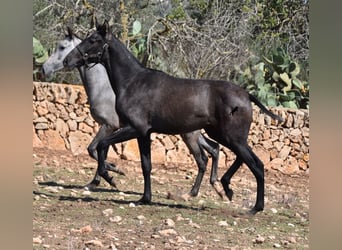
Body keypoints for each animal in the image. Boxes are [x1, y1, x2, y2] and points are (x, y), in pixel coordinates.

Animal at [42, 26, 220, 196]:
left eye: (62, 46)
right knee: (212, 149)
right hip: (189, 133)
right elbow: (99, 150)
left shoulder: (110, 126)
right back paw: (211, 186)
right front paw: (102, 178)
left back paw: (197, 190)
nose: (45, 68)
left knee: (203, 157)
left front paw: (112, 174)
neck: (104, 88)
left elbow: (94, 149)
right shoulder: (112, 128)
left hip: (189, 134)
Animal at [64, 20, 284, 214]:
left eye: (93, 40)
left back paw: (253, 206)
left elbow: (101, 145)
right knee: (238, 157)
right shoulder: (144, 134)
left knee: (255, 165)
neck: (133, 82)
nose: (67, 60)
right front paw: (145, 198)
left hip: (230, 137)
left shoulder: (135, 128)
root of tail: (246, 94)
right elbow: (146, 165)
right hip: (224, 135)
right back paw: (226, 188)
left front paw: (110, 176)